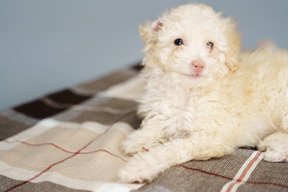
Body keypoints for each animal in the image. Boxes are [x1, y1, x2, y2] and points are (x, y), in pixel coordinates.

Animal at [117, 3, 288, 182]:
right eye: (178, 42)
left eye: (210, 45)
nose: (198, 64)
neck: (187, 91)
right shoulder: (164, 112)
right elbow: (156, 125)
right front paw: (137, 139)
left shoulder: (210, 137)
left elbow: (171, 149)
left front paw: (138, 167)